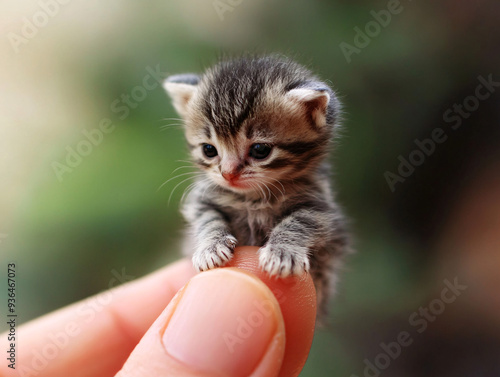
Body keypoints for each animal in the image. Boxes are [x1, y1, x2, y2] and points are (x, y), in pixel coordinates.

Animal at [162, 54, 350, 316]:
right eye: (209, 150)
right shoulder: (200, 201)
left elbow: (299, 221)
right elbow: (208, 219)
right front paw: (211, 247)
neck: (252, 197)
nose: (228, 174)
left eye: (260, 150)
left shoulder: (321, 206)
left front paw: (282, 252)